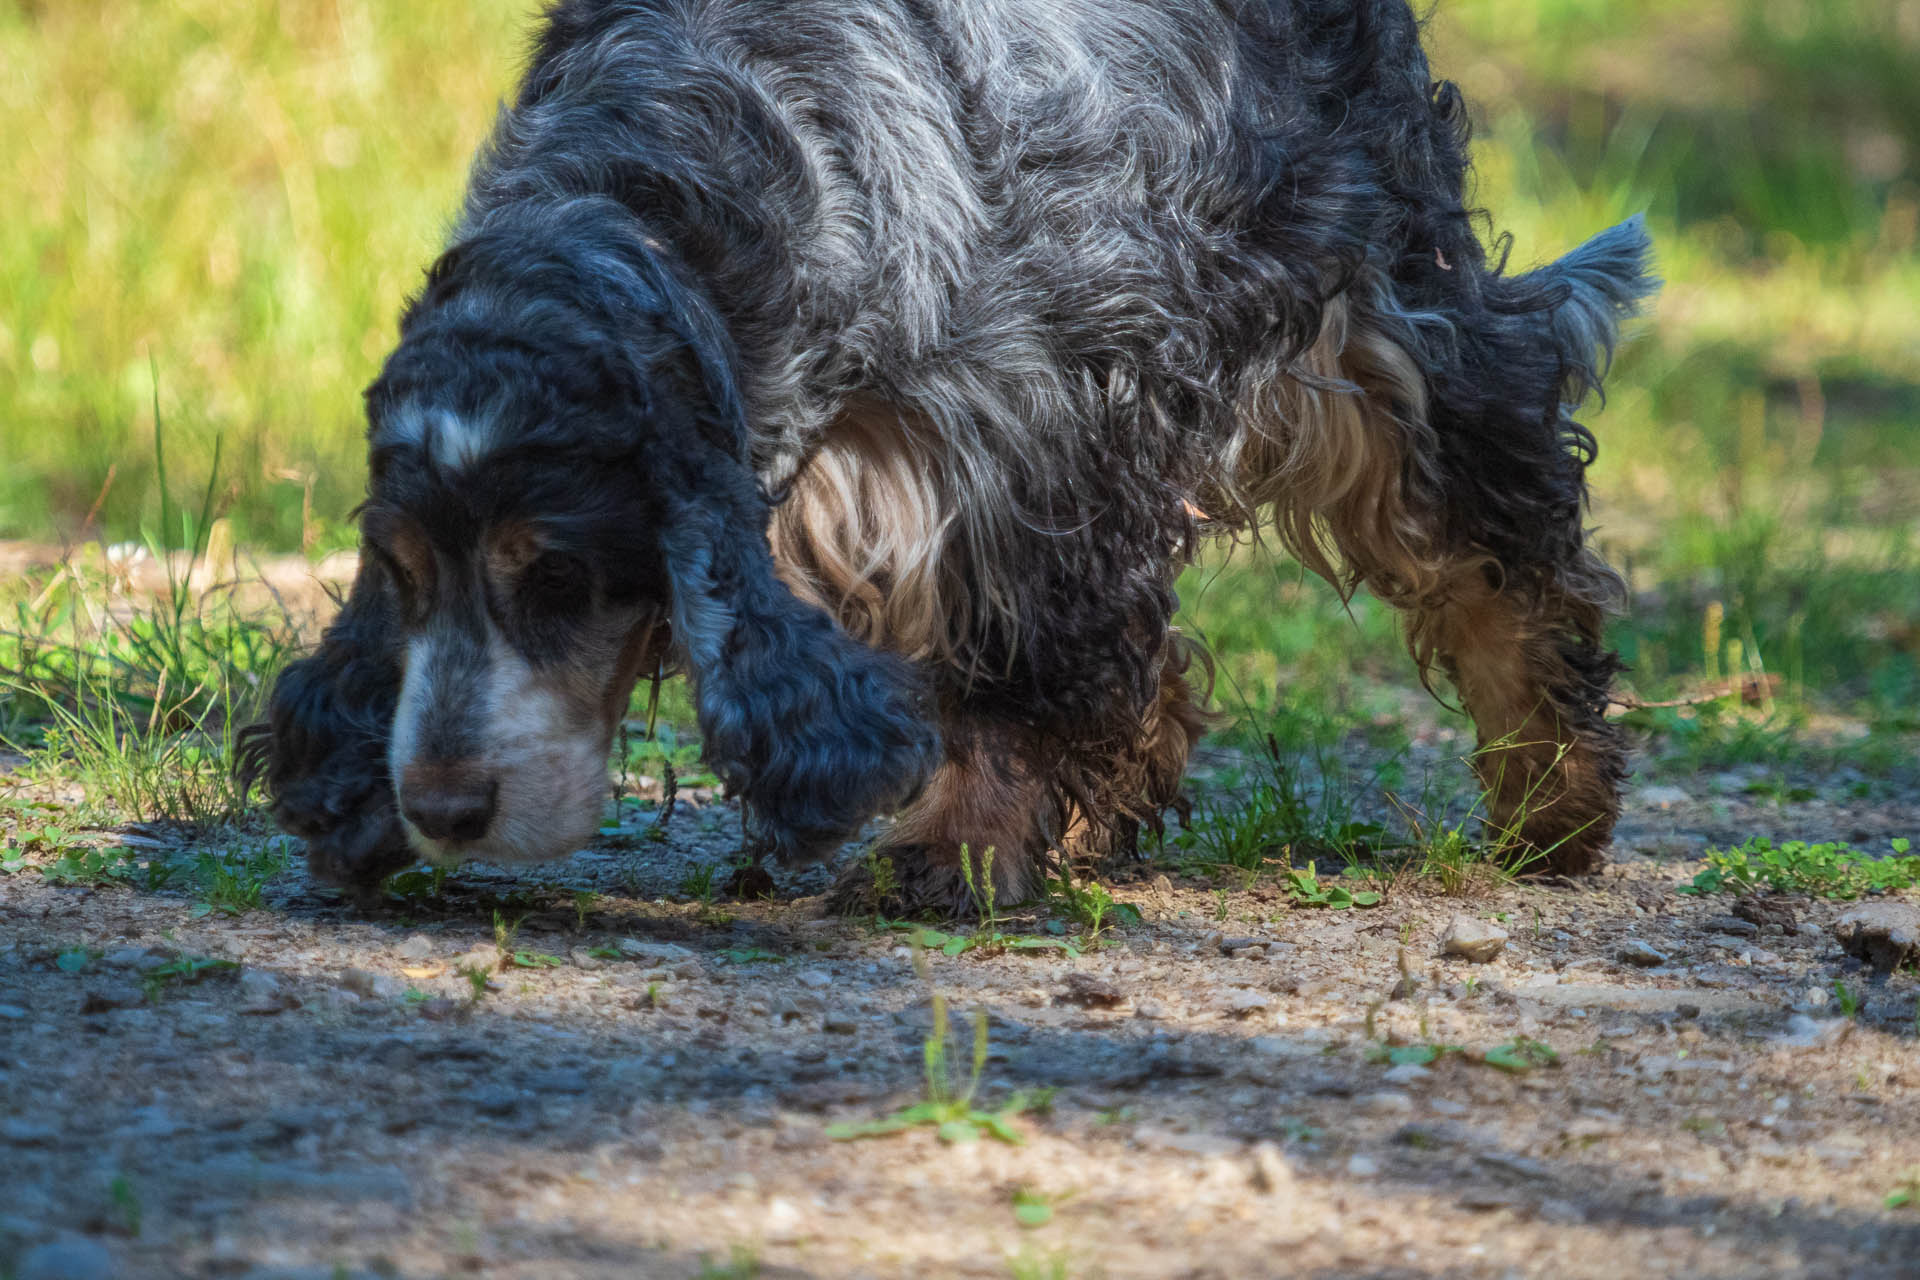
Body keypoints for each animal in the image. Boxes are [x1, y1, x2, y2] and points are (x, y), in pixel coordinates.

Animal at [243, 0, 1651, 909]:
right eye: (405, 576)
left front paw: (956, 850)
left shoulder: (1024, 456)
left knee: (1502, 553)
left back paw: (1553, 808)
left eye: (556, 577)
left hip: (1382, 334)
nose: (441, 807)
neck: (674, 185)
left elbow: (1011, 670)